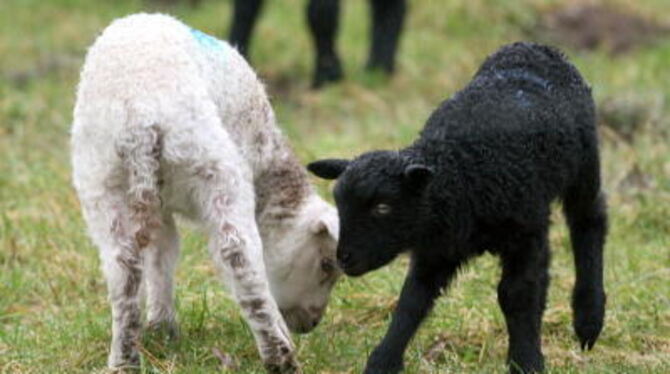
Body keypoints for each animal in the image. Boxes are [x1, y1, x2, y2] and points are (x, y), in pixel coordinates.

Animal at [72, 13, 342, 372]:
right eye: (326, 264)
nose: (310, 323)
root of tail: (139, 119)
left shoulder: (158, 207)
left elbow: (161, 254)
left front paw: (161, 327)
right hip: (212, 164)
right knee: (238, 255)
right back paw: (279, 353)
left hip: (101, 180)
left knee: (122, 267)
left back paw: (124, 359)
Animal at [310, 42, 608, 372]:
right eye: (339, 204)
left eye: (383, 207)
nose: (344, 258)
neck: (459, 174)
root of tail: (534, 47)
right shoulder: (437, 248)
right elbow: (413, 300)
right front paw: (383, 361)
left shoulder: (527, 234)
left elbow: (518, 294)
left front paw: (526, 360)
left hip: (584, 166)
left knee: (589, 221)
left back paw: (588, 317)